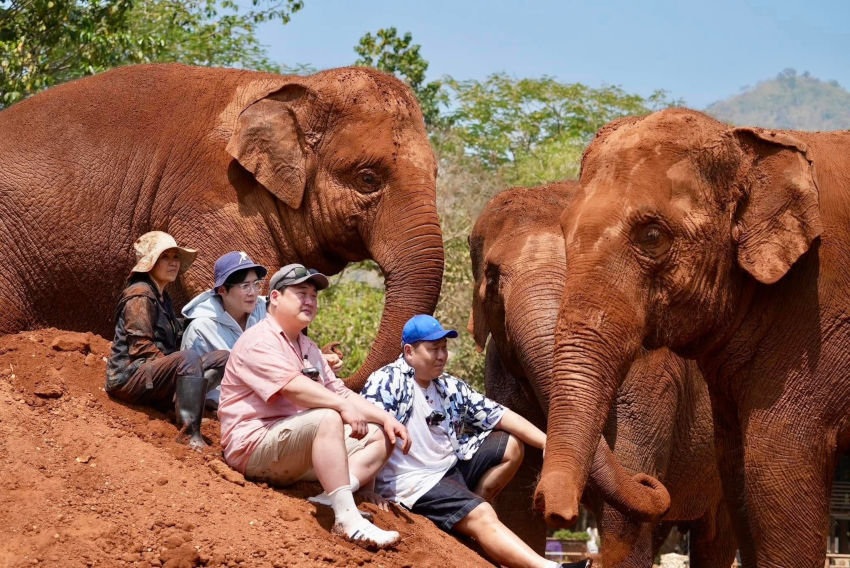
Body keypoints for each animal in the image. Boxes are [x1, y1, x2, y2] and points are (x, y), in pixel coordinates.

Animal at [469, 183, 735, 567]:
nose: (557, 510)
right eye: (491, 276)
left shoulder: (652, 375)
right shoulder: (500, 371)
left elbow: (620, 517)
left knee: (716, 537)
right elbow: (516, 506)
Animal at [534, 107, 850, 567]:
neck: (750, 142)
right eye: (563, 230)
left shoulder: (815, 318)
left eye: (652, 237)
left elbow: (776, 464)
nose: (556, 514)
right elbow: (737, 467)